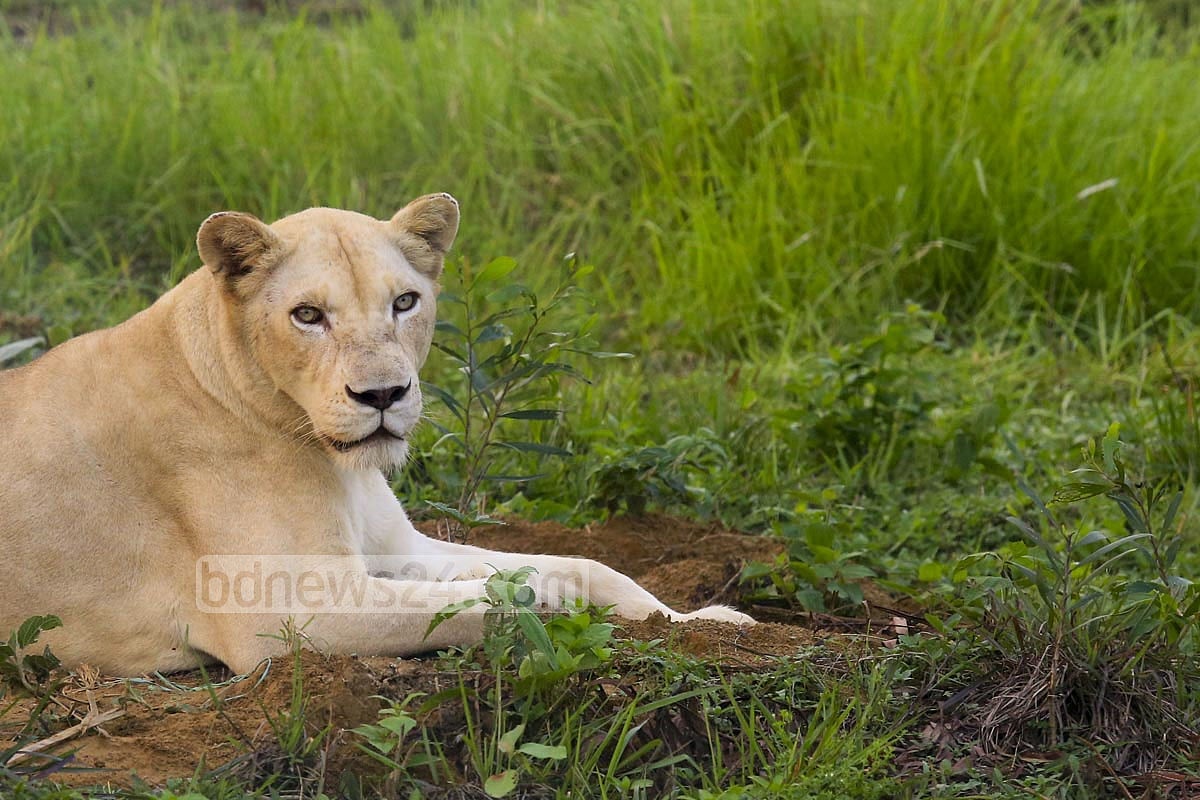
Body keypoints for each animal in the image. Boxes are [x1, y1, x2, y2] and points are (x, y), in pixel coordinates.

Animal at [0, 194, 752, 676]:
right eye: (308, 315)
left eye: (405, 302)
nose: (384, 395)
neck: (334, 462)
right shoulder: (288, 611)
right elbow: (484, 602)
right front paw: (555, 610)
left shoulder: (397, 549)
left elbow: (583, 565)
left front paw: (706, 622)